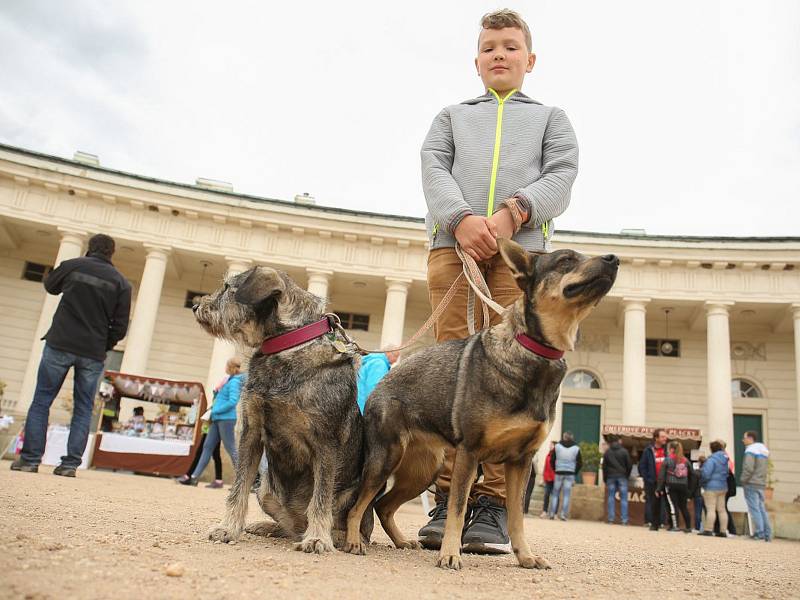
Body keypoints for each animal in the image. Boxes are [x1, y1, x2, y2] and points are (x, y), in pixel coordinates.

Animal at [194, 268, 372, 552]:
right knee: (289, 528)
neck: (287, 345)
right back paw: (268, 527)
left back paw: (341, 538)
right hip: (265, 488)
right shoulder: (251, 432)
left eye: (227, 288)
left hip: (356, 494)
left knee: (351, 524)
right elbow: (238, 489)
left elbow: (321, 499)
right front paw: (228, 528)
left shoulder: (326, 443)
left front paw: (318, 538)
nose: (196, 305)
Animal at [340, 238, 616, 568]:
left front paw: (525, 556)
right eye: (565, 260)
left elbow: (516, 519)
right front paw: (449, 553)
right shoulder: (469, 455)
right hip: (385, 461)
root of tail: (380, 385)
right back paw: (353, 541)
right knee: (359, 504)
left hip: (421, 472)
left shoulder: (520, 462)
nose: (614, 258)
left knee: (383, 506)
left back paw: (400, 540)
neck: (532, 352)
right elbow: (457, 511)